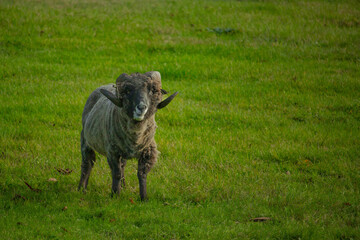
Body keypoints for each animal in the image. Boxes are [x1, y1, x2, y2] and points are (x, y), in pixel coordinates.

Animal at [79, 71, 179, 201]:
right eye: (128, 91)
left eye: (152, 90)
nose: (141, 107)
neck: (135, 137)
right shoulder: (112, 152)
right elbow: (116, 173)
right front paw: (115, 195)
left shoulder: (148, 152)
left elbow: (141, 174)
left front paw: (144, 198)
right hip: (85, 141)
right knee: (87, 164)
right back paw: (81, 189)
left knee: (122, 166)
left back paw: (124, 187)